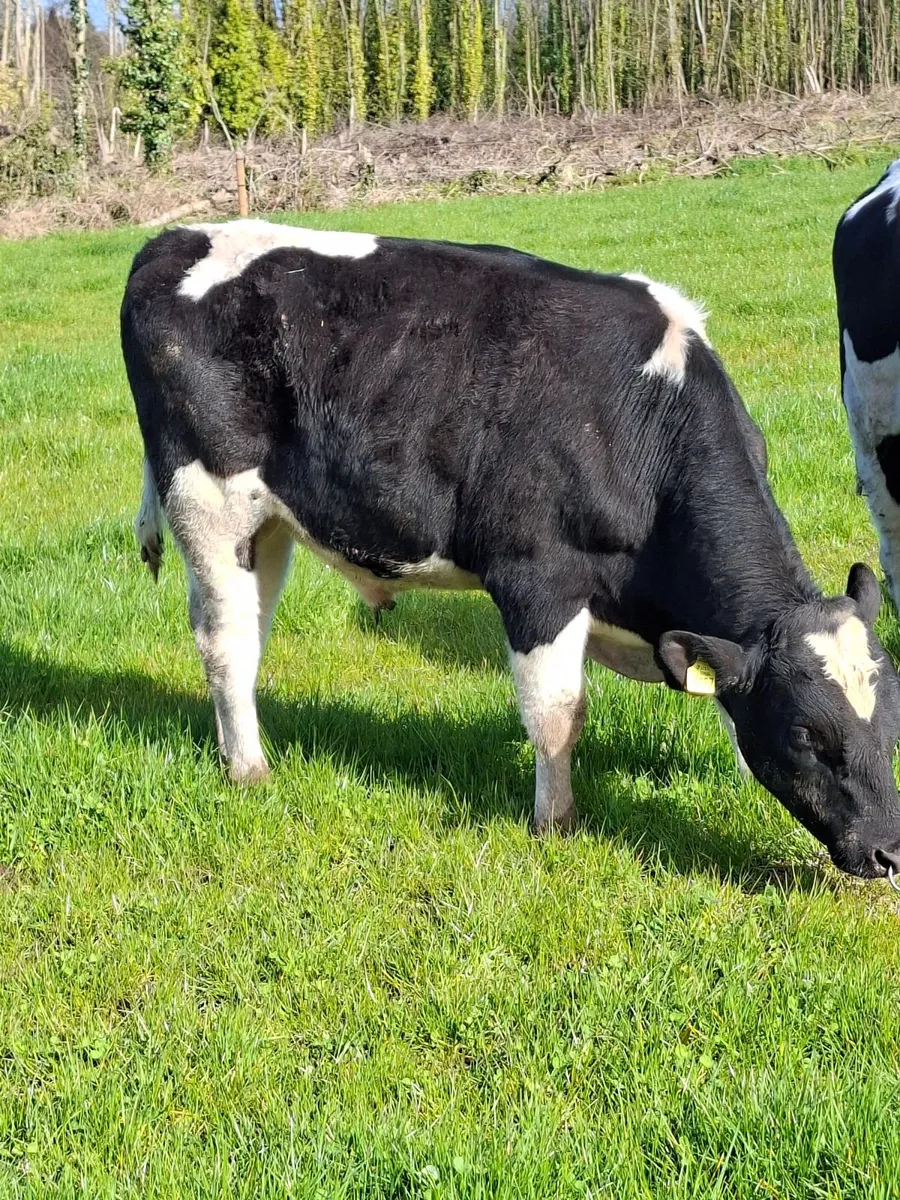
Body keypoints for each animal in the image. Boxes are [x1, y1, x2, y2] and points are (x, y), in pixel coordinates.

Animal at [121, 218, 900, 880]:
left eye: (893, 716)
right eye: (806, 735)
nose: (889, 852)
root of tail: (173, 238)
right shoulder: (538, 580)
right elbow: (558, 712)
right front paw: (555, 822)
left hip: (270, 526)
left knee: (249, 636)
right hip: (209, 504)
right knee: (225, 642)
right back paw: (248, 769)